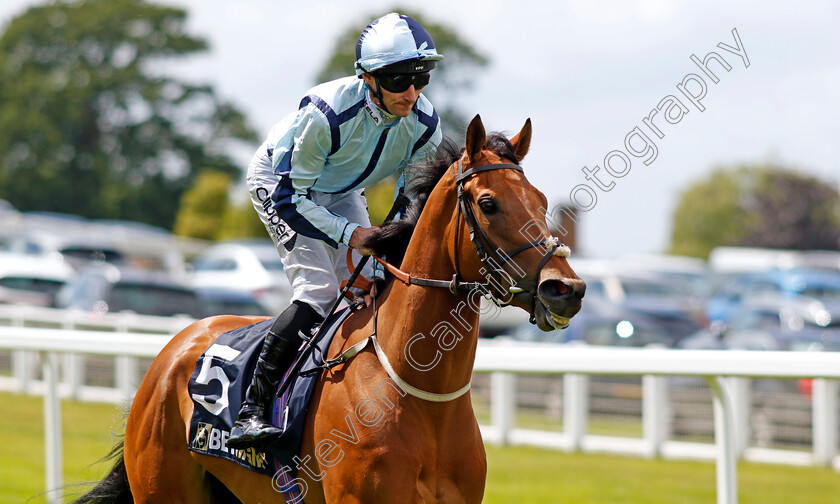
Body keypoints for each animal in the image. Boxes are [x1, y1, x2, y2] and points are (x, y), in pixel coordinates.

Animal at [74, 115, 584, 504]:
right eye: (488, 203)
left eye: (541, 201)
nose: (566, 289)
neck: (420, 391)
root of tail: (174, 348)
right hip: (163, 489)